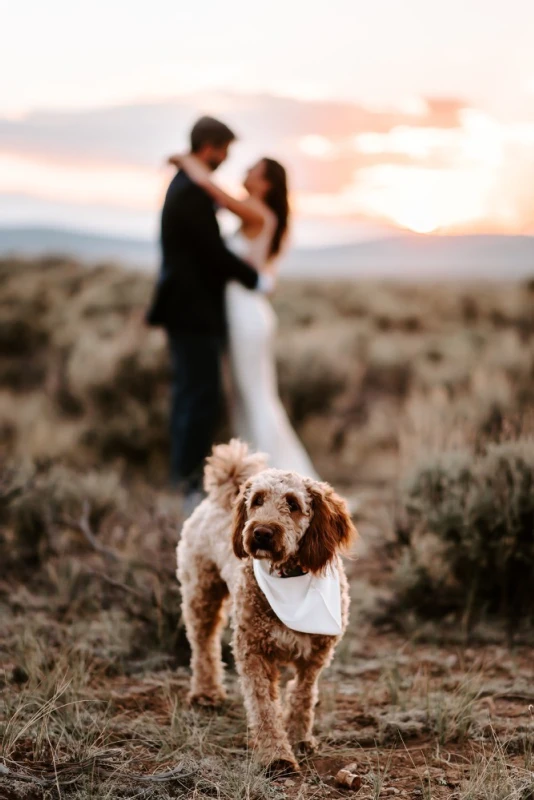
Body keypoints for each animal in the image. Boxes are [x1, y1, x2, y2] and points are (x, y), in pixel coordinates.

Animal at [178, 440, 358, 772]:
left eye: (293, 504)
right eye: (258, 500)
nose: (261, 532)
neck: (289, 576)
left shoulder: (316, 654)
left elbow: (302, 696)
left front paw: (299, 738)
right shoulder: (253, 651)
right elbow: (263, 707)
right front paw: (276, 755)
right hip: (200, 592)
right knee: (203, 643)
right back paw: (206, 693)